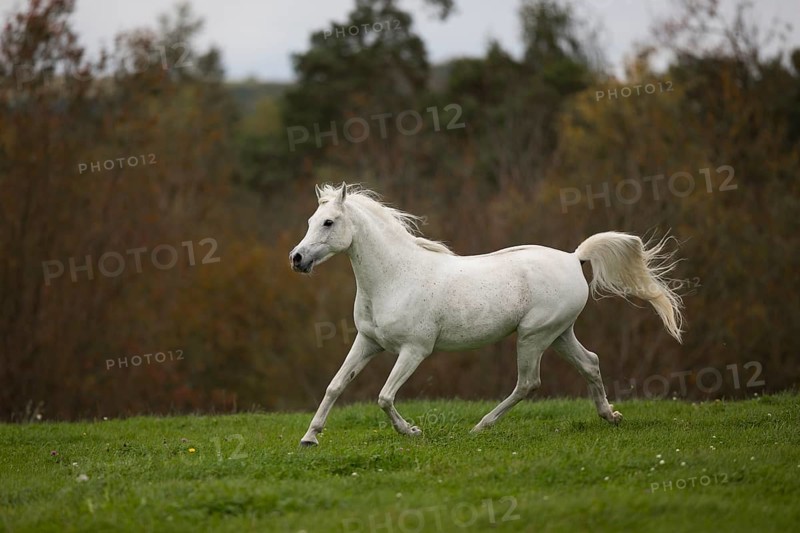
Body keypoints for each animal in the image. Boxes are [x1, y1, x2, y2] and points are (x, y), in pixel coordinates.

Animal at [289, 182, 684, 446]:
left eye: (328, 222)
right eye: (310, 220)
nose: (297, 259)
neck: (395, 276)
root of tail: (575, 258)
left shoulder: (415, 350)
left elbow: (385, 397)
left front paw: (412, 431)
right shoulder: (368, 342)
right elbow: (336, 385)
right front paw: (310, 437)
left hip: (533, 336)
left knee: (528, 383)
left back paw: (480, 426)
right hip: (559, 333)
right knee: (590, 363)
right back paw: (610, 415)